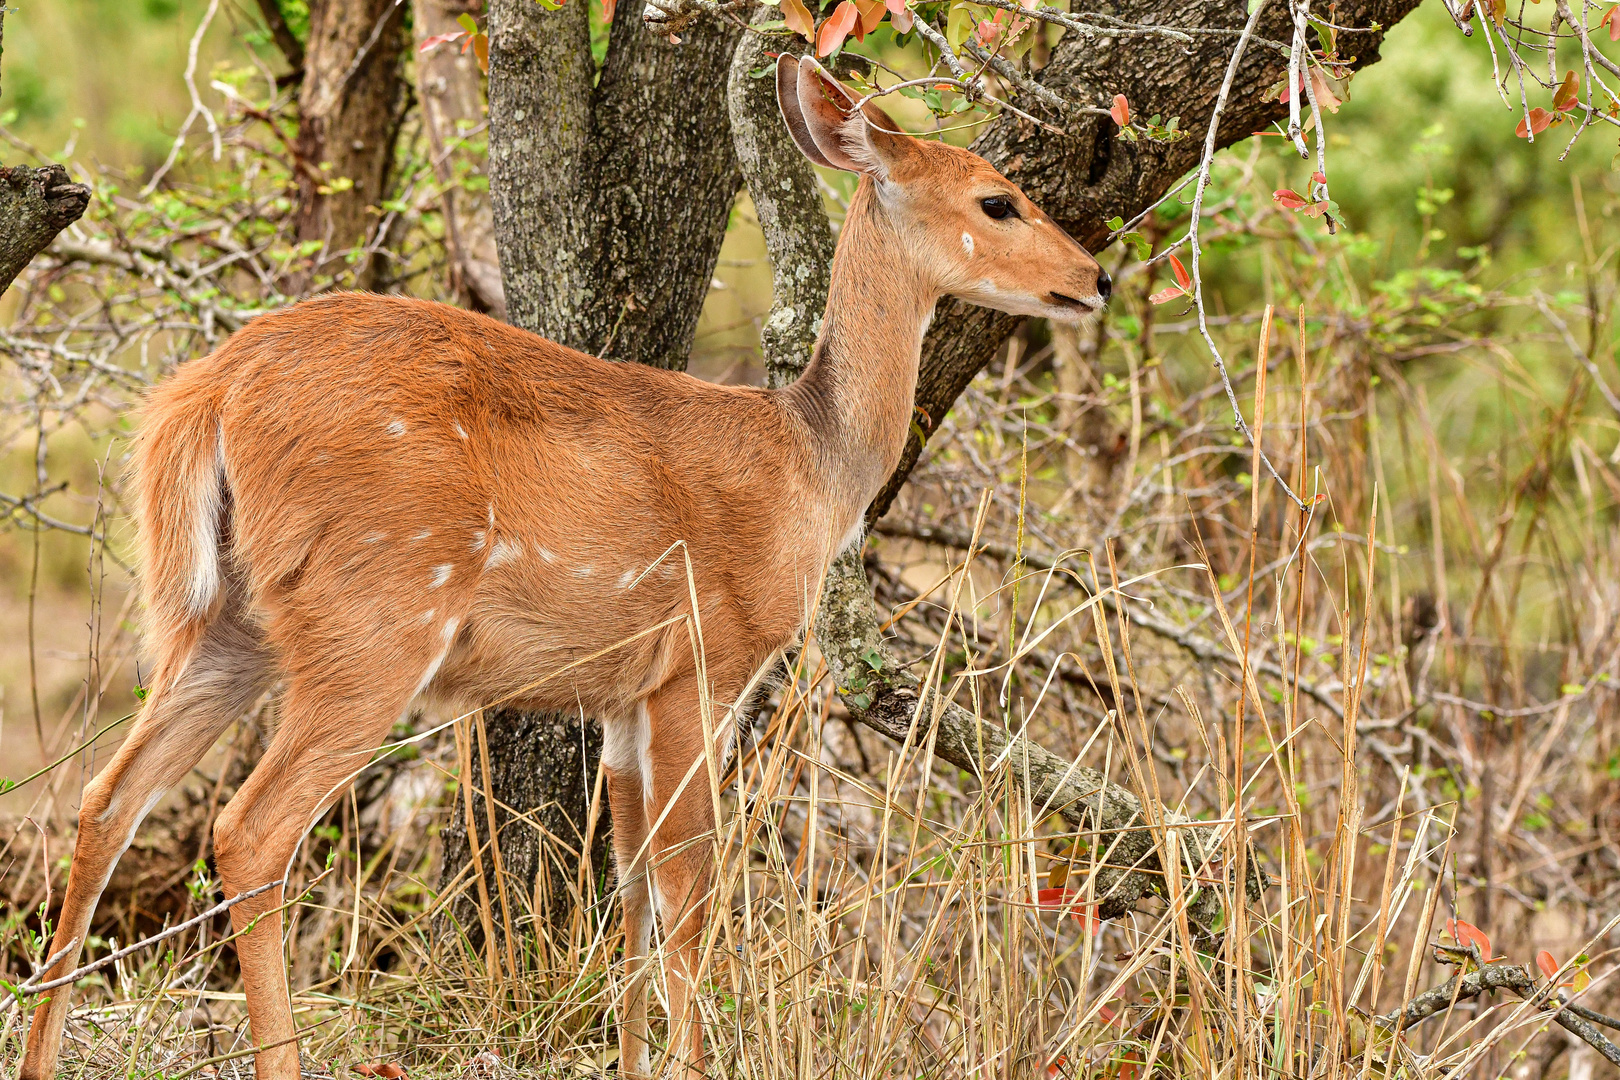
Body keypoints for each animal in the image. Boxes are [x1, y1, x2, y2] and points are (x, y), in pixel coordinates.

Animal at [19, 57, 1108, 1080]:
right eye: (998, 199)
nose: (1094, 278)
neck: (808, 463)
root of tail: (207, 391)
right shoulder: (702, 664)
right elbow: (690, 889)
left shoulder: (620, 699)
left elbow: (628, 891)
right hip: (377, 616)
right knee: (250, 827)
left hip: (231, 623)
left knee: (104, 799)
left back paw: (40, 1053)